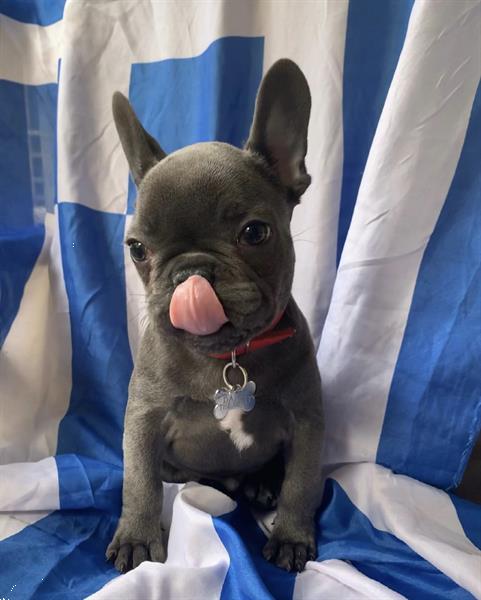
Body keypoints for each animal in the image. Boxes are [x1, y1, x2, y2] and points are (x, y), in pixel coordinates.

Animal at [105, 58, 322, 576]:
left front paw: (291, 535)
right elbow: (139, 481)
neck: (228, 358)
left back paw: (261, 486)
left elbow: (302, 483)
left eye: (255, 233)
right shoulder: (144, 419)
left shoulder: (307, 422)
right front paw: (138, 536)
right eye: (137, 248)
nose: (190, 273)